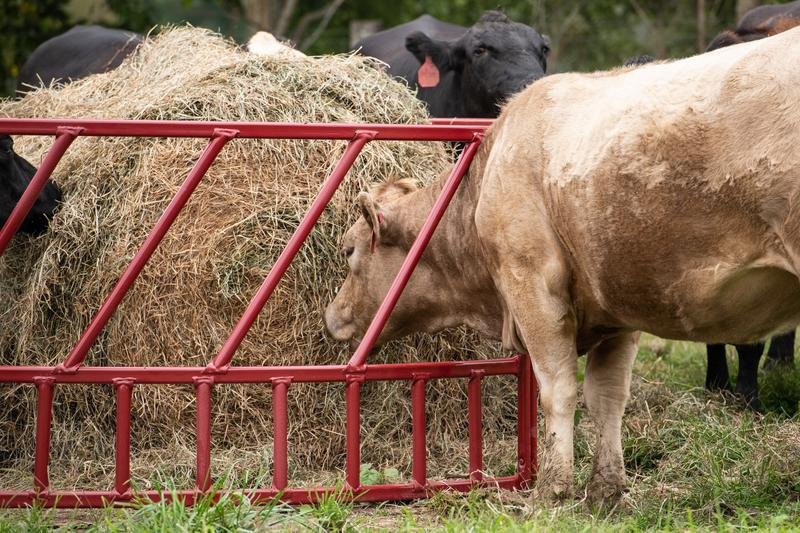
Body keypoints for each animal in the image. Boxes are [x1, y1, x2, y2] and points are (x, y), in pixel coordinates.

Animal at [325, 29, 800, 504]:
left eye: (348, 251)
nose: (331, 315)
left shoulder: (532, 282)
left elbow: (558, 389)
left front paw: (552, 488)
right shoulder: (617, 305)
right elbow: (608, 396)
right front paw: (607, 491)